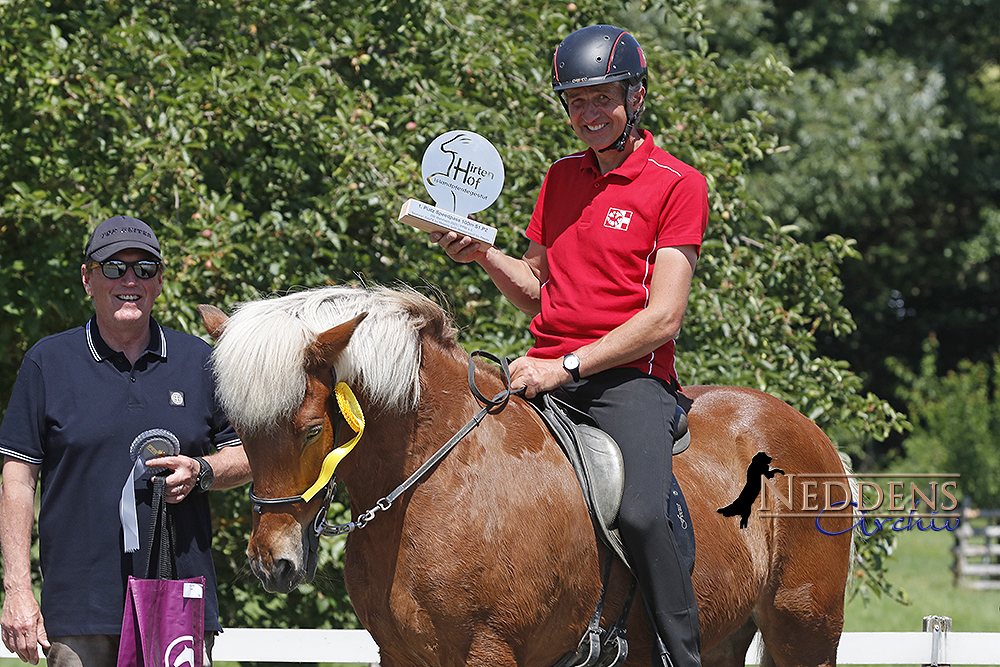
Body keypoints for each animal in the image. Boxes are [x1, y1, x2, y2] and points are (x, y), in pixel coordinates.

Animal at [199, 286, 856, 667]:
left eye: (313, 429)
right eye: (241, 430)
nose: (273, 563)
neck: (439, 478)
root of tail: (810, 433)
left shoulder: (489, 651)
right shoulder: (401, 655)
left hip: (805, 630)